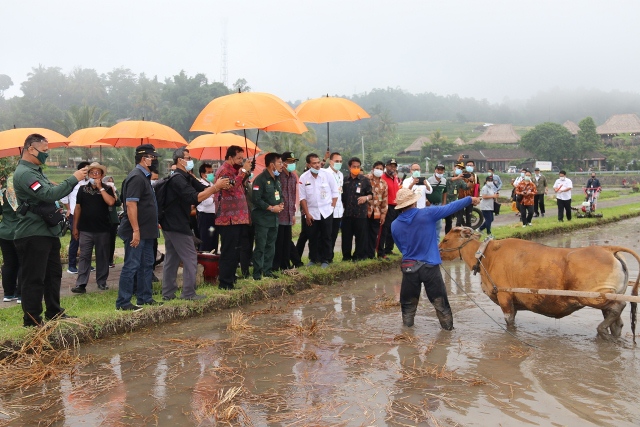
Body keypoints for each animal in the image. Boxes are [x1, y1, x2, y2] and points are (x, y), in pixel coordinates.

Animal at [438, 227, 640, 342]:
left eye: (446, 239)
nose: (437, 250)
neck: (487, 256)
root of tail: (608, 249)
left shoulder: (505, 297)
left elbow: (509, 322)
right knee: (617, 320)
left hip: (594, 295)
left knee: (619, 306)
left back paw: (601, 330)